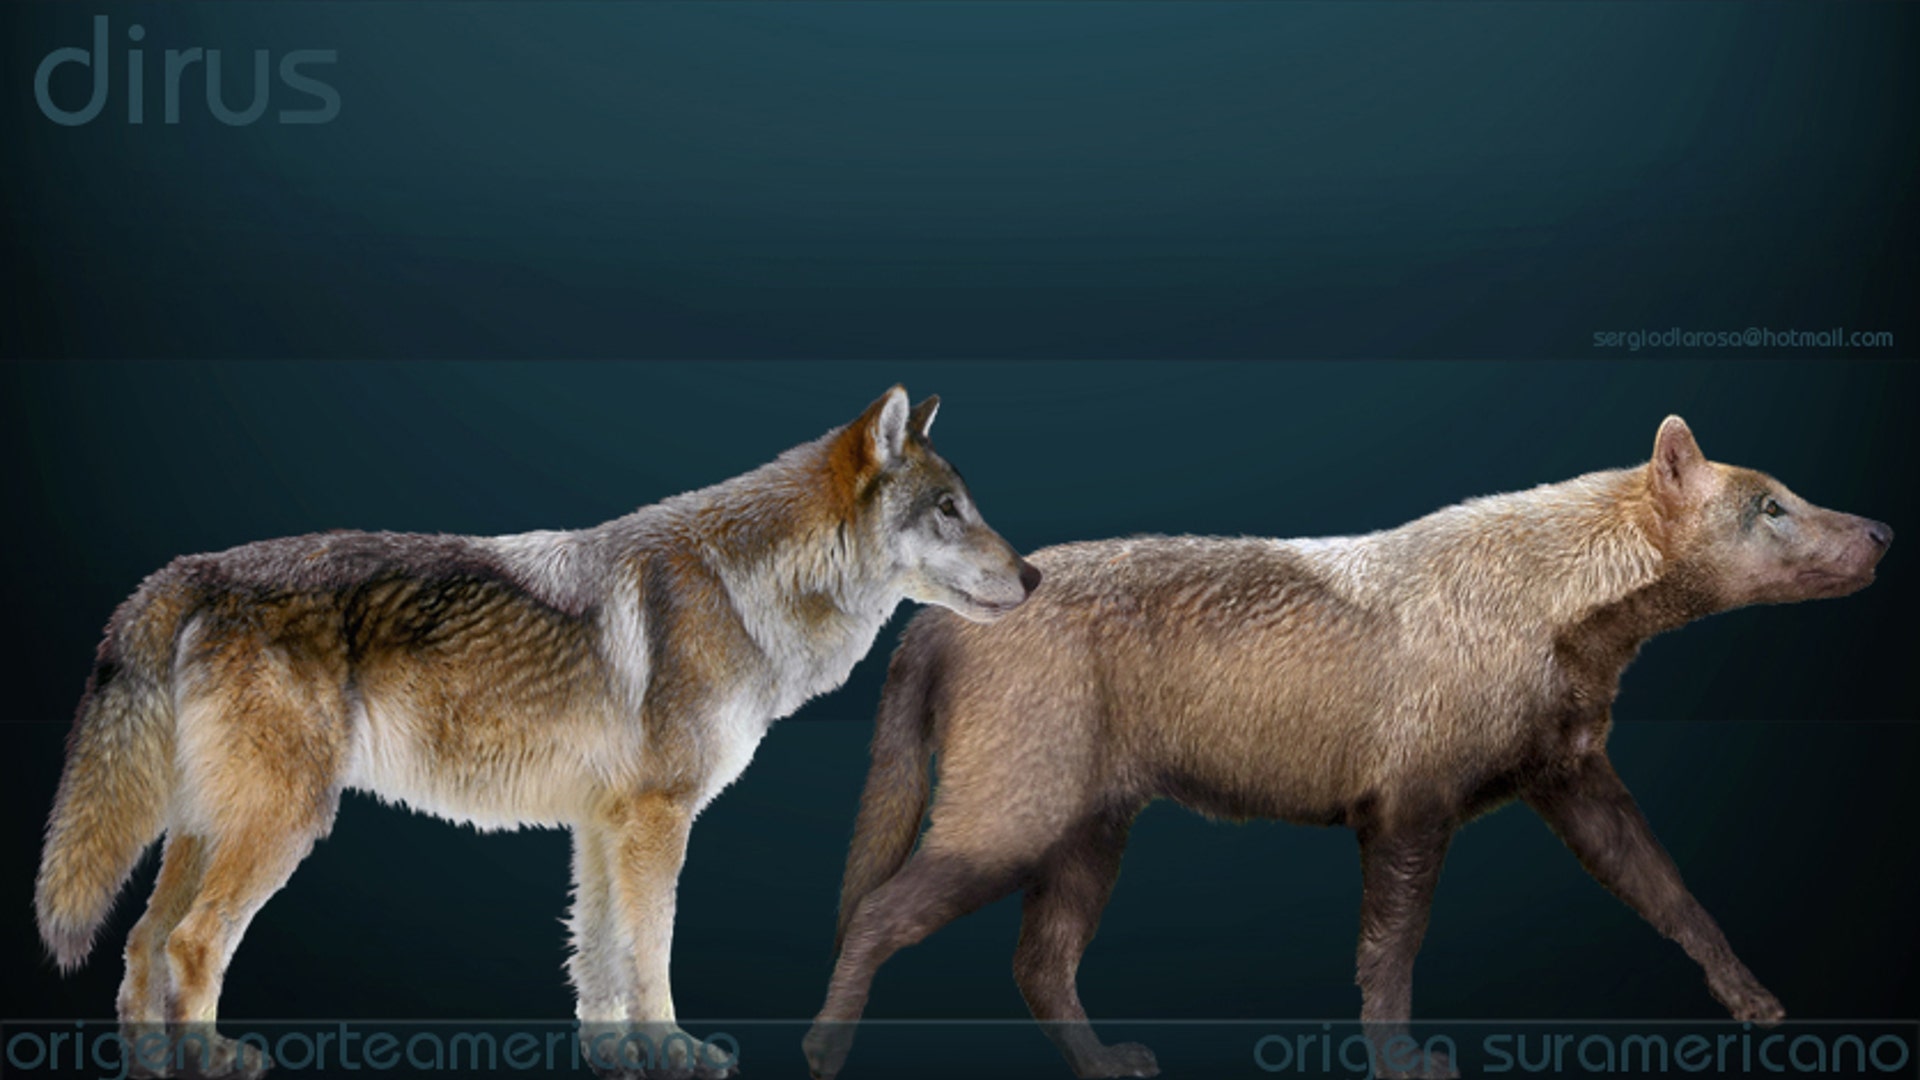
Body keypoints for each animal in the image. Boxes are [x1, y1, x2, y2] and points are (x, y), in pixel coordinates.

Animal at [35, 385, 1041, 1080]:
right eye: (948, 512)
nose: (1033, 576)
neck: (745, 591)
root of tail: (186, 571)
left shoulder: (600, 826)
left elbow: (597, 962)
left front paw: (617, 1062)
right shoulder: (656, 820)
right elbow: (650, 956)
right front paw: (673, 1055)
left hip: (206, 827)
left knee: (139, 945)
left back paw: (152, 1068)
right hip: (281, 823)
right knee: (190, 943)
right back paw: (209, 1062)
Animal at [804, 416, 1892, 1080]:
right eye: (1772, 506)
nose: (1882, 531)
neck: (1551, 605)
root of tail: (934, 621)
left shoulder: (1576, 782)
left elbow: (1674, 897)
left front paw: (1755, 1003)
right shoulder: (1409, 811)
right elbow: (1390, 952)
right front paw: (1402, 1063)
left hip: (1089, 836)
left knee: (1038, 963)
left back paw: (1108, 1064)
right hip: (1010, 824)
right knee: (881, 913)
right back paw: (821, 1049)